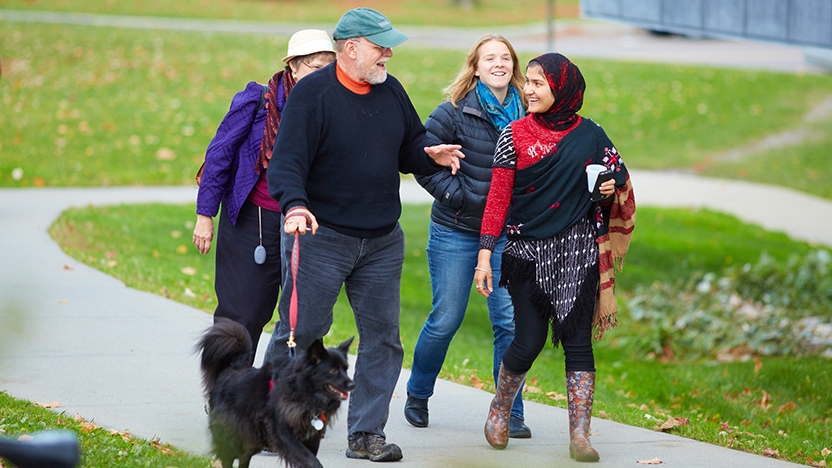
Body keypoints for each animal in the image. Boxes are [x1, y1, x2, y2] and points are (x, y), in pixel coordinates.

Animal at [197, 318, 354, 468]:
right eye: (333, 370)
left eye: (345, 369)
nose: (352, 385)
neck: (303, 390)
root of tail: (232, 368)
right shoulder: (283, 432)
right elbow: (309, 459)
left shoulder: (312, 437)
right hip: (232, 436)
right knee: (228, 458)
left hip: (251, 439)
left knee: (244, 458)